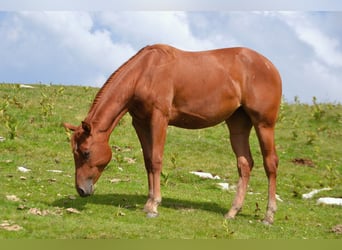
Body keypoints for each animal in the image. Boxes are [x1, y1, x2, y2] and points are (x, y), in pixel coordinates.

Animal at [63, 44, 280, 225]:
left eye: (86, 153)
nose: (81, 189)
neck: (145, 73)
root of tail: (270, 66)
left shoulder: (159, 118)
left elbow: (157, 160)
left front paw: (154, 206)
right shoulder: (140, 122)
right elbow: (148, 160)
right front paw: (148, 202)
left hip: (264, 124)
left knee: (270, 163)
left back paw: (268, 216)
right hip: (238, 124)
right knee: (245, 164)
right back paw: (232, 211)